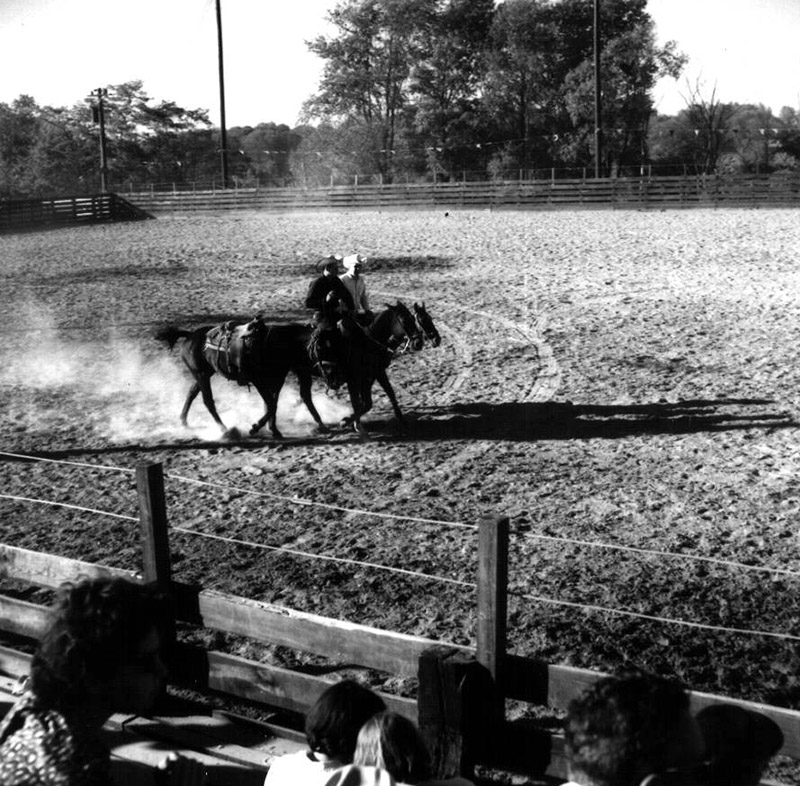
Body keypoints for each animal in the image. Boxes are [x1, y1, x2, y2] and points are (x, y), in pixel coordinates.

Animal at [152, 300, 422, 438]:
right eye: (405, 319)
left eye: (414, 318)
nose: (418, 341)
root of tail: (190, 335)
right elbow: (271, 403)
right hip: (203, 374)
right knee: (207, 400)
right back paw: (225, 429)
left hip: (205, 374)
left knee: (192, 394)